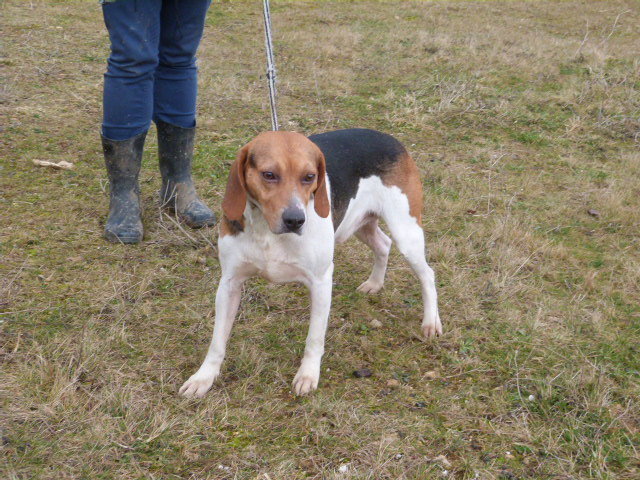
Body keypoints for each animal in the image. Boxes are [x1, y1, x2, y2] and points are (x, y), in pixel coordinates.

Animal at [179, 127, 440, 398]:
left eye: (309, 177)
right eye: (269, 175)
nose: (295, 220)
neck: (267, 231)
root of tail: (388, 137)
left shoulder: (321, 282)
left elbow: (314, 339)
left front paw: (307, 375)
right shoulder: (229, 284)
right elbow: (217, 340)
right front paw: (204, 377)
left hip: (406, 233)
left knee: (427, 274)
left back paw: (431, 322)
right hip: (361, 224)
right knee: (383, 244)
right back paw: (374, 284)